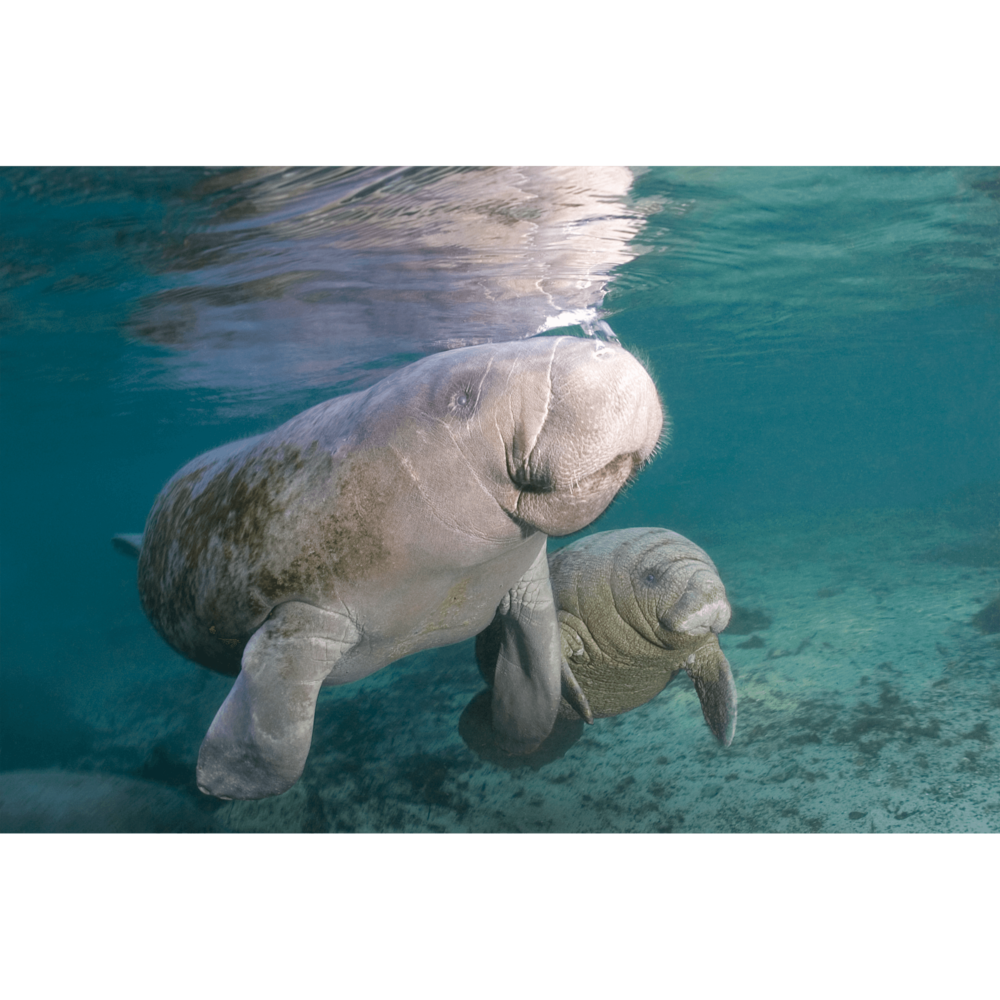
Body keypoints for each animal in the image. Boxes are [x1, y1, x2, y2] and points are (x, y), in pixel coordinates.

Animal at [119, 336, 664, 796]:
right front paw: (223, 783)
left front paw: (516, 737)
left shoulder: (522, 575)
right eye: (464, 399)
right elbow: (274, 736)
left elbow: (536, 675)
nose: (601, 347)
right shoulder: (302, 615)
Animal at [476, 528, 736, 748]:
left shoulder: (705, 646)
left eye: (714, 569)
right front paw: (586, 712)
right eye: (651, 577)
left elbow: (720, 681)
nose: (711, 589)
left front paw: (725, 738)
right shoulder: (564, 616)